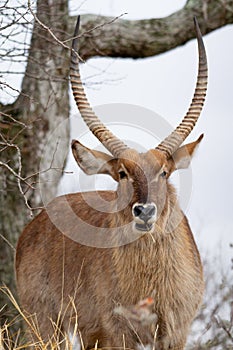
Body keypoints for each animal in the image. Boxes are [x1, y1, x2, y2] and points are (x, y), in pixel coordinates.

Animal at [15, 16, 207, 350]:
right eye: (122, 173)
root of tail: (33, 226)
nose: (145, 212)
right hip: (45, 324)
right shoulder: (113, 332)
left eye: (164, 172)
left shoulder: (175, 333)